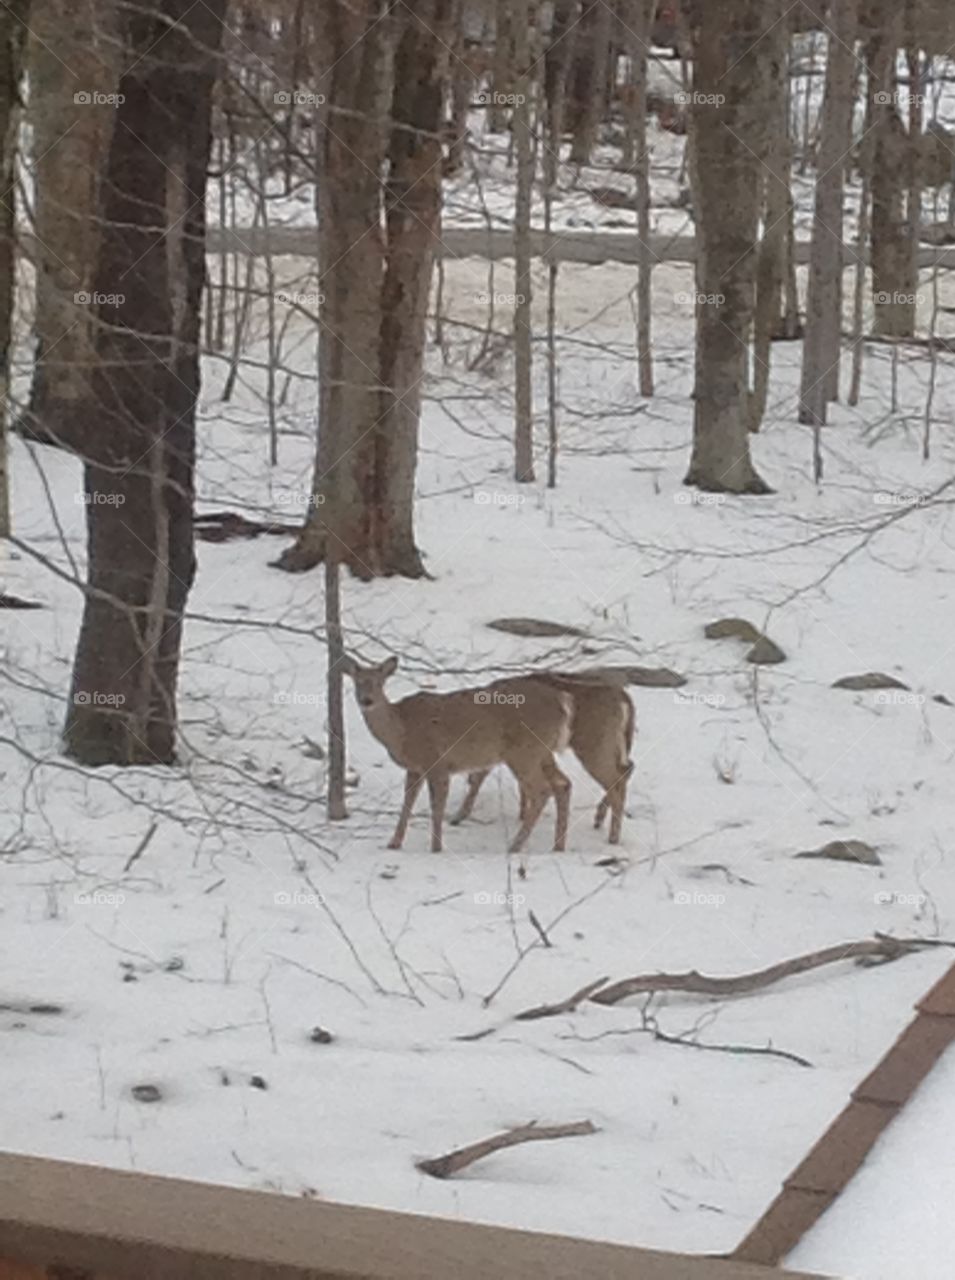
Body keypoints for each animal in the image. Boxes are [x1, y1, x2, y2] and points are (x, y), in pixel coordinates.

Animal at [341, 655, 574, 854]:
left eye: (379, 683)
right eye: (357, 681)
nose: (367, 700)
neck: (401, 731)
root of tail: (562, 704)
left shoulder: (436, 762)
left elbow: (437, 808)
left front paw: (436, 848)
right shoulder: (415, 768)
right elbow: (407, 804)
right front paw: (394, 843)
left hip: (524, 752)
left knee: (542, 790)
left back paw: (515, 846)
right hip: (542, 752)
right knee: (563, 784)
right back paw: (558, 846)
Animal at [451, 674, 635, 844]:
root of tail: (624, 699)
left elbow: (480, 775)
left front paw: (459, 816)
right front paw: (522, 813)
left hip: (593, 744)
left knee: (616, 778)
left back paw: (612, 836)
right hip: (613, 744)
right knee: (626, 769)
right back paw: (600, 821)